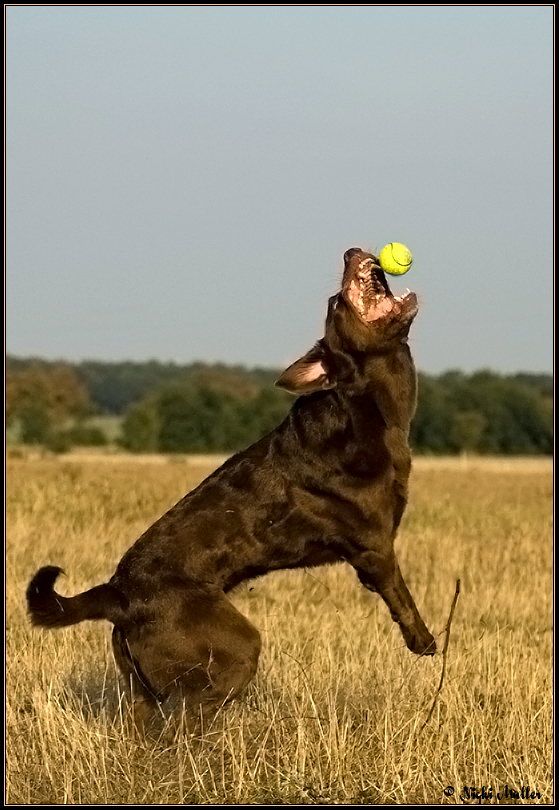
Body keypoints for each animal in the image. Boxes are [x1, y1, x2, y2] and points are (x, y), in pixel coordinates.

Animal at [26, 248, 438, 732]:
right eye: (336, 304)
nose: (350, 252)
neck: (367, 409)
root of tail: (117, 594)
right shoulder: (374, 547)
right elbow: (402, 597)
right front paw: (425, 642)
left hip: (142, 683)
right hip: (235, 648)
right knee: (186, 717)